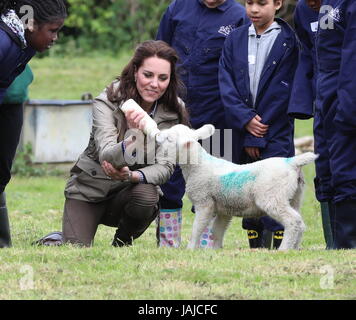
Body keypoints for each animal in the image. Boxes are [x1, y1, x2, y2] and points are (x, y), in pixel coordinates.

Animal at [154, 124, 318, 251]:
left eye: (169, 138)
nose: (157, 135)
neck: (197, 165)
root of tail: (292, 162)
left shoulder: (204, 202)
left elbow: (197, 228)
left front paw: (191, 249)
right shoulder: (224, 209)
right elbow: (217, 230)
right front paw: (216, 250)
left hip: (272, 197)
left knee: (293, 221)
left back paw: (284, 249)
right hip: (295, 196)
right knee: (300, 222)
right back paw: (294, 248)